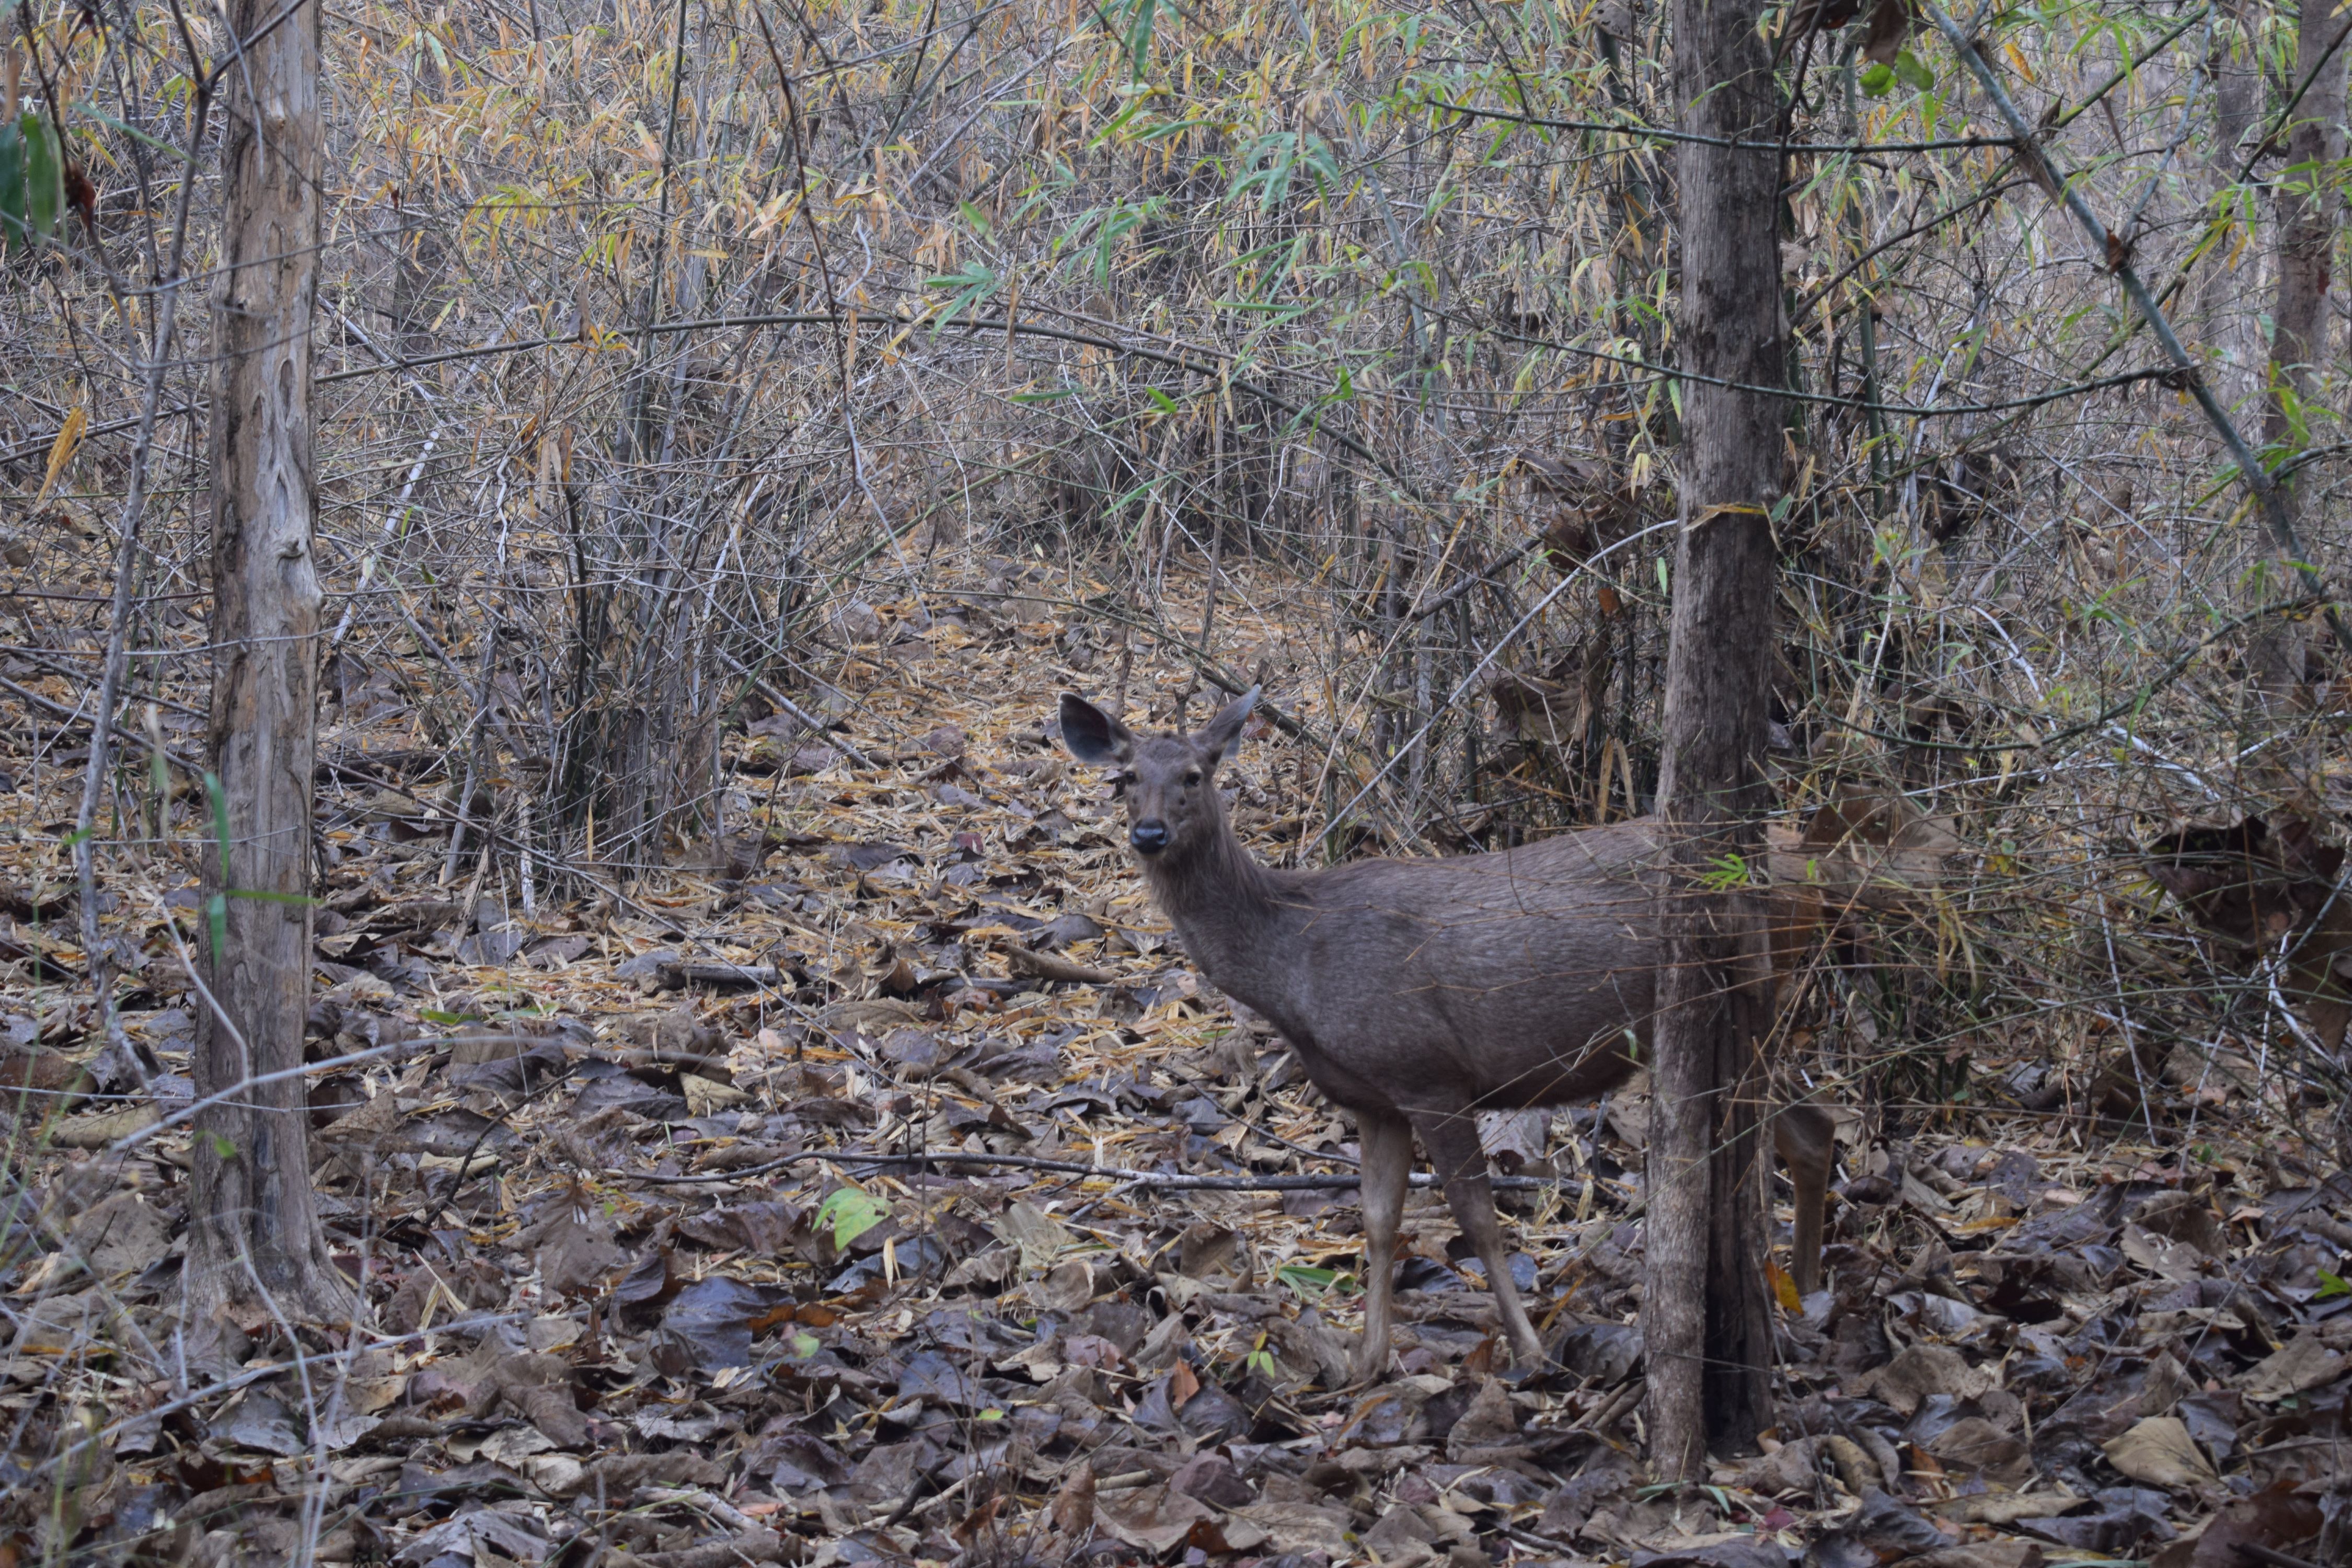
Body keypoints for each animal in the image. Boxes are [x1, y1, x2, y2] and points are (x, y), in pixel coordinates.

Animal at [1057, 687, 1950, 1379]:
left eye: (1195, 776)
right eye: (1125, 779)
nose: (1148, 834)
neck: (1296, 966)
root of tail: (1817, 872)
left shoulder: (1428, 1072)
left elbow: (1478, 1217)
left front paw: (1530, 1350)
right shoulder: (1373, 1096)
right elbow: (1377, 1221)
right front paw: (1366, 1361)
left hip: (1746, 997)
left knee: (1798, 1130)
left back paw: (1793, 1295)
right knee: (1813, 1129)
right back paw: (1804, 1292)